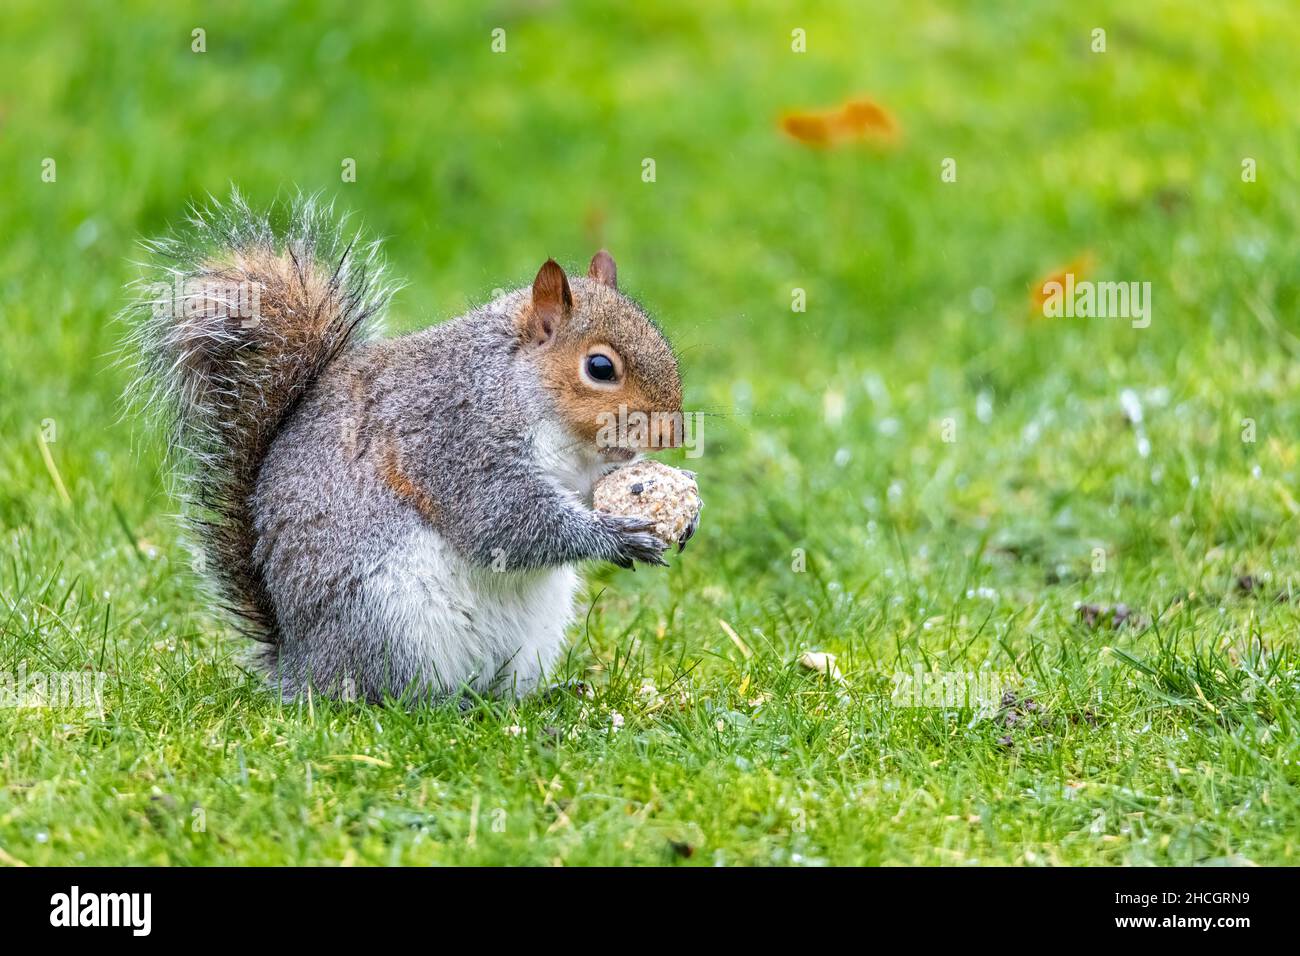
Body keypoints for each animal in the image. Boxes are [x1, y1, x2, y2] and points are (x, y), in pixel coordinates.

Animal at [128, 195, 696, 702]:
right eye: (600, 368)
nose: (672, 435)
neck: (519, 385)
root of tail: (301, 665)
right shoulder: (455, 437)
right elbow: (502, 520)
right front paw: (616, 535)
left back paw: (540, 697)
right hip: (392, 622)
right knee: (390, 696)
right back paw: (449, 704)